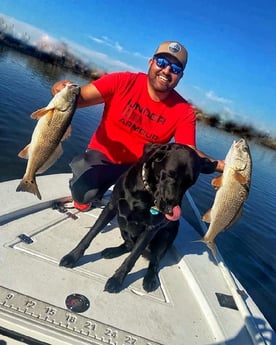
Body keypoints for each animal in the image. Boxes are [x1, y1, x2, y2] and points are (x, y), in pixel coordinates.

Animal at [60, 143, 218, 292]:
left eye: (190, 182)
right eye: (170, 174)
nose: (170, 211)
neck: (145, 191)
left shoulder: (151, 228)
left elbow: (132, 257)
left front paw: (117, 280)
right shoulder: (111, 207)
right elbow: (90, 235)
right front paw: (72, 256)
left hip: (164, 238)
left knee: (154, 261)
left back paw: (149, 279)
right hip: (123, 225)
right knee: (129, 244)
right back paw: (112, 251)